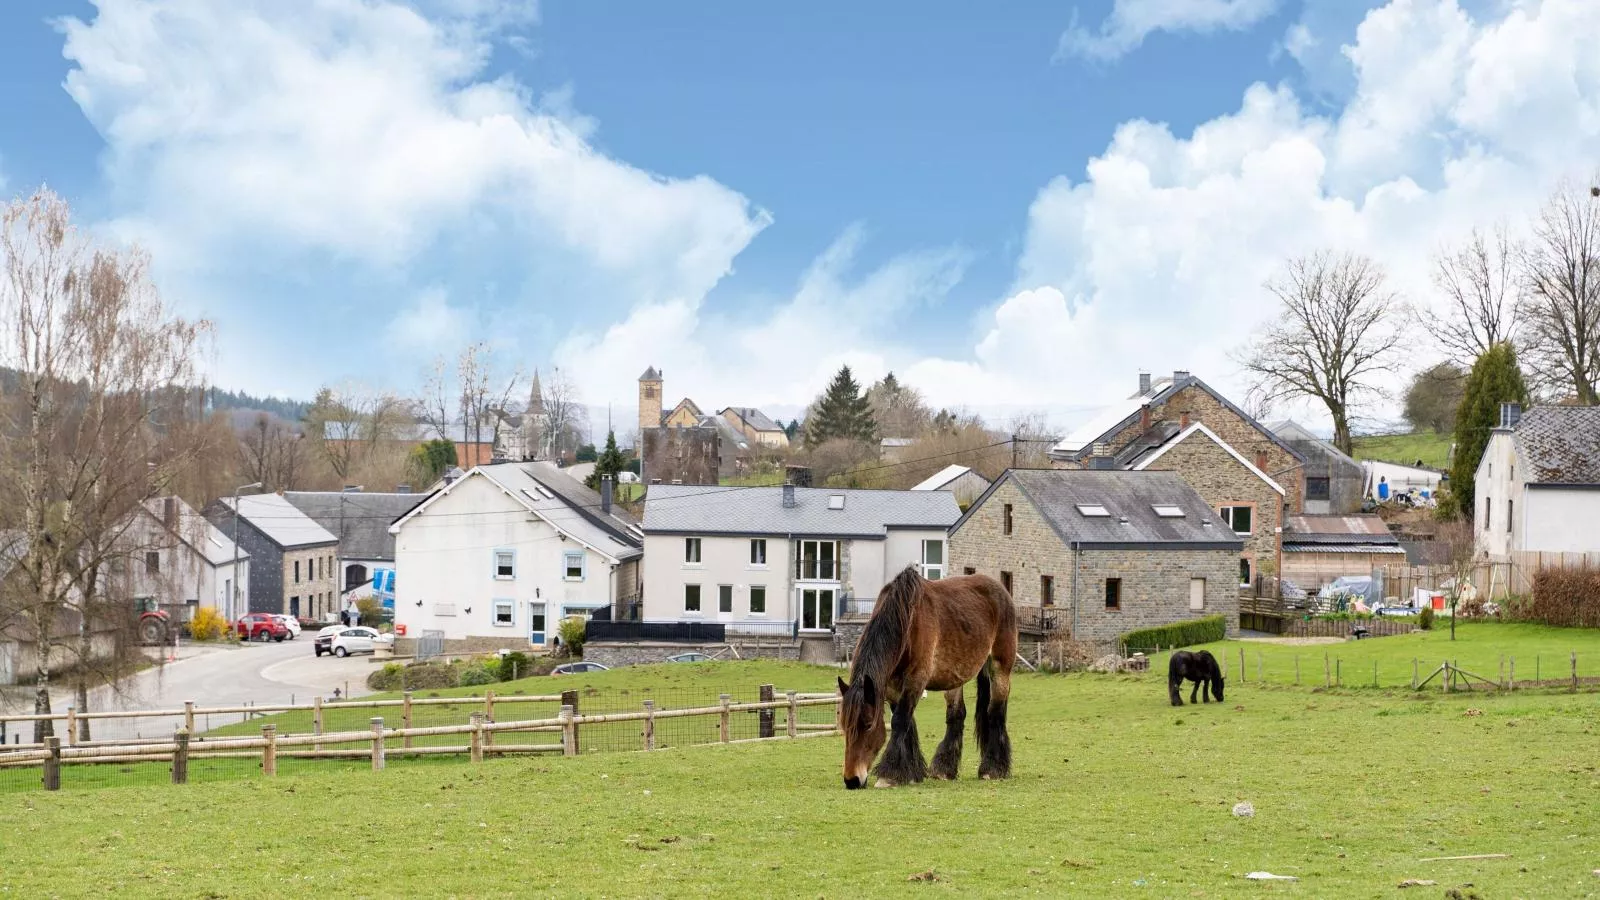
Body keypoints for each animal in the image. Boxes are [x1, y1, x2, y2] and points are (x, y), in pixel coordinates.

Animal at [838, 566, 1011, 784]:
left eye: (868, 725)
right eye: (844, 725)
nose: (852, 780)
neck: (907, 622)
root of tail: (1002, 590)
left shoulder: (916, 680)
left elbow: (900, 720)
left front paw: (889, 774)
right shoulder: (892, 687)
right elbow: (906, 722)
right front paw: (910, 772)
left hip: (1000, 669)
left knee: (995, 712)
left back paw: (993, 768)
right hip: (955, 676)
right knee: (956, 715)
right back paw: (944, 769)